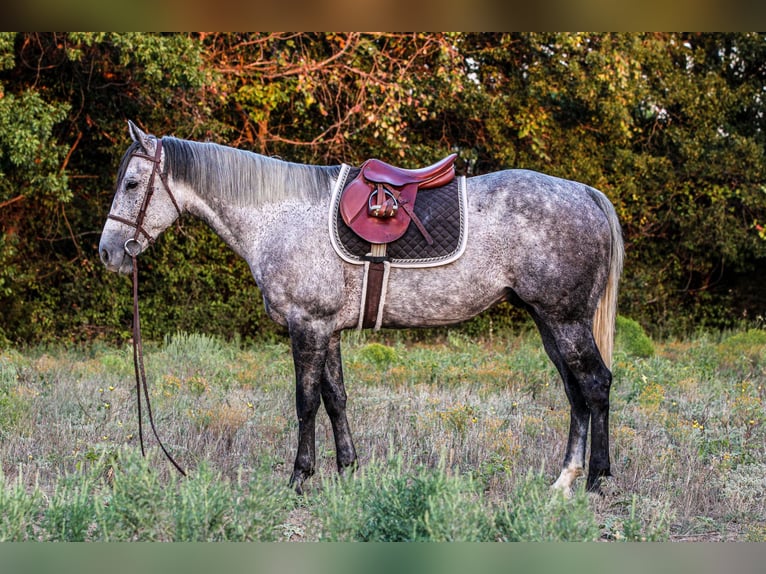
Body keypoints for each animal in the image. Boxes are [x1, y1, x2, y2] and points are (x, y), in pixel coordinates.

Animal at [97, 120, 624, 496]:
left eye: (132, 183)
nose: (108, 252)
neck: (282, 216)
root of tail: (586, 194)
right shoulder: (327, 330)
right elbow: (336, 399)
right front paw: (348, 469)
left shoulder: (307, 326)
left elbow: (306, 401)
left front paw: (300, 477)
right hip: (548, 321)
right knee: (575, 391)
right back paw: (563, 480)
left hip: (565, 320)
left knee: (595, 385)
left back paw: (596, 479)